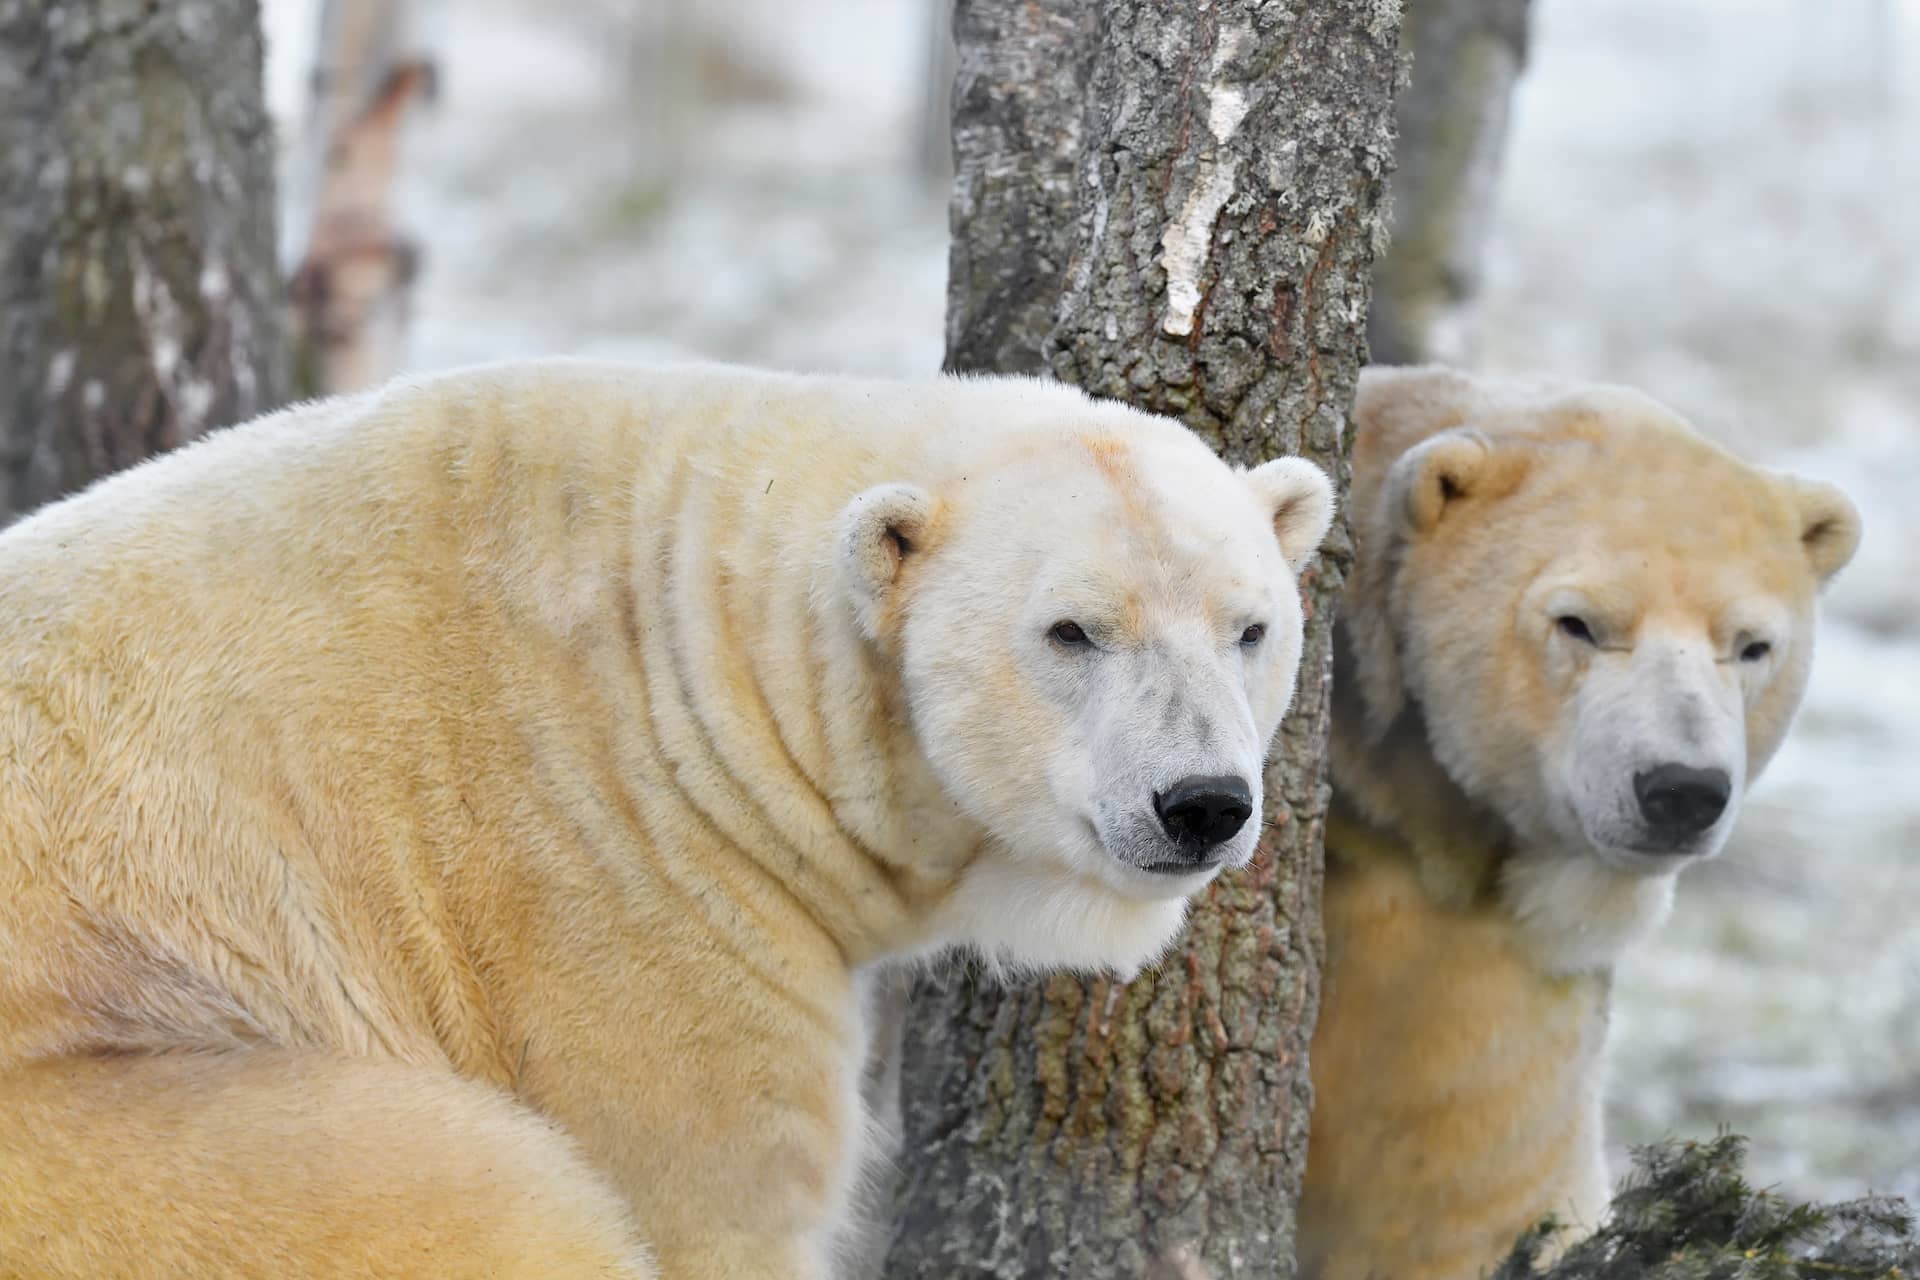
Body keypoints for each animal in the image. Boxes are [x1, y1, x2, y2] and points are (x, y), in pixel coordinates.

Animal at [0, 360, 1336, 1280]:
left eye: (1250, 625)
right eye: (1071, 630)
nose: (1201, 802)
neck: (695, 654)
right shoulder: (629, 891)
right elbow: (713, 1192)